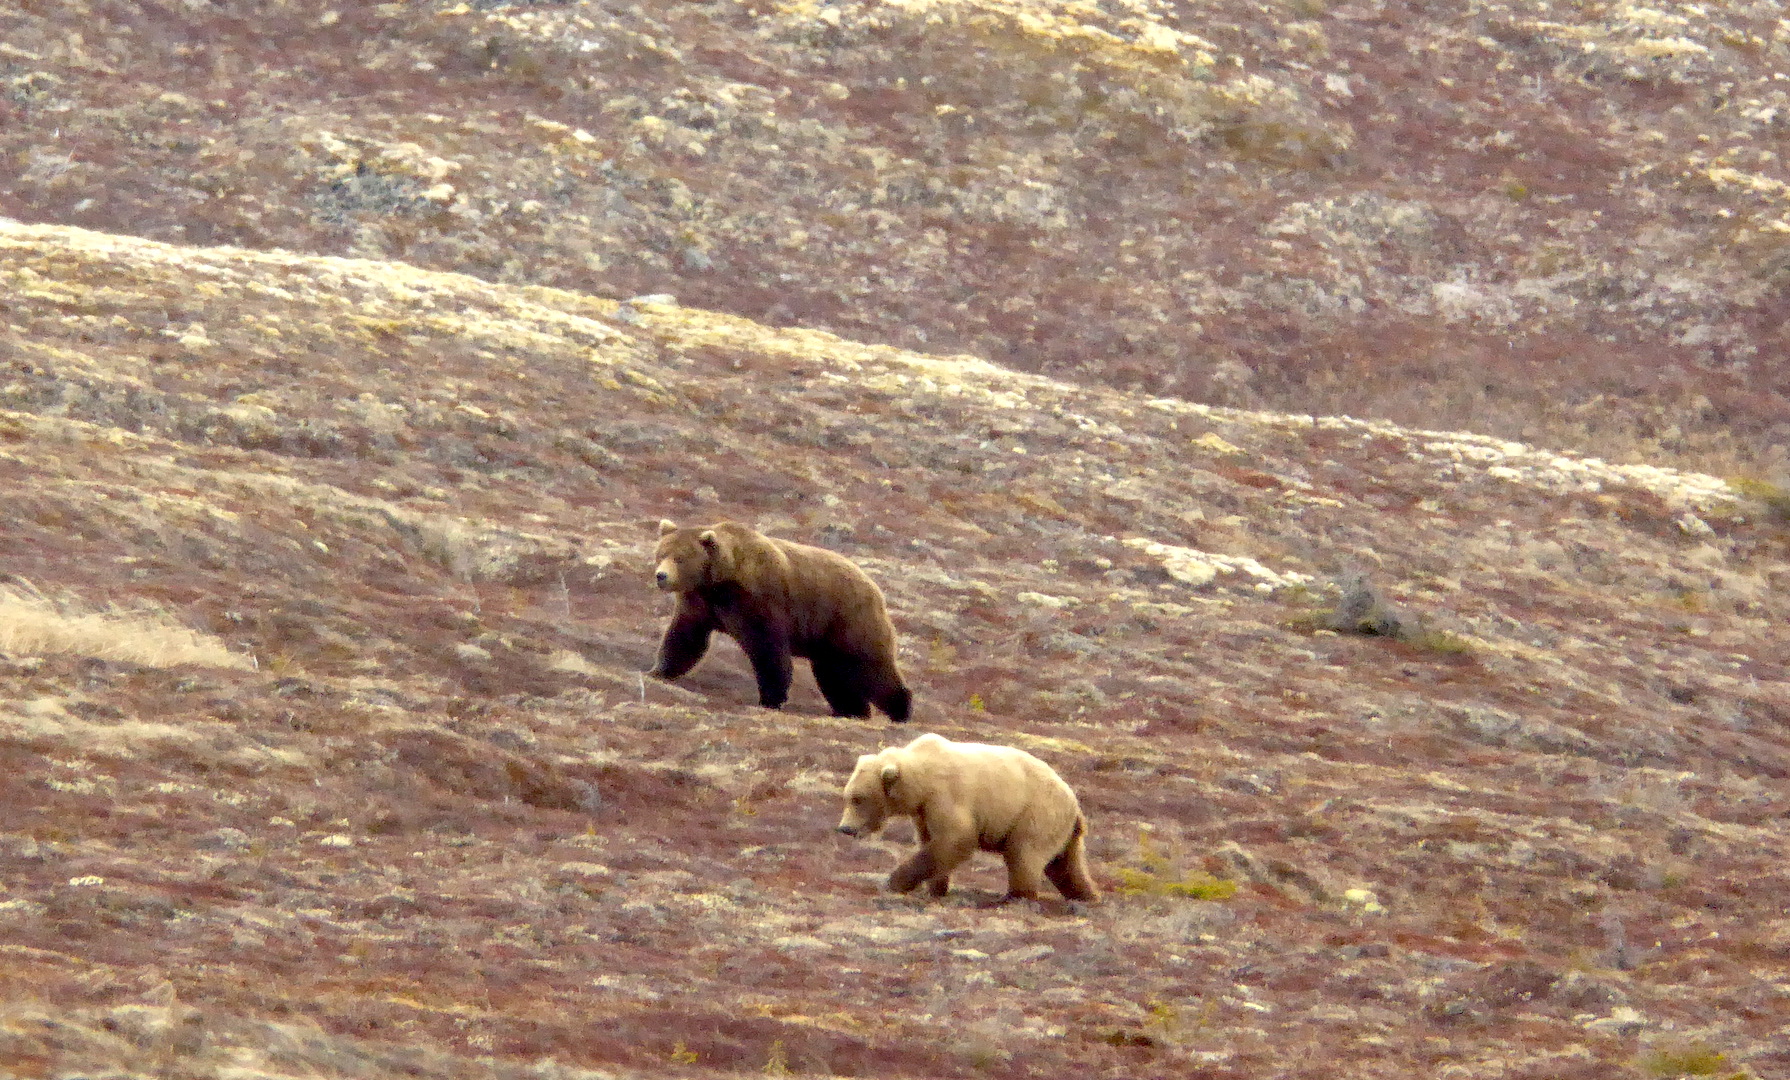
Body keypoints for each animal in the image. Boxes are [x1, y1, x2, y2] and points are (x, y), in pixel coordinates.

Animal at [649, 519, 911, 722]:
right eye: (661, 554)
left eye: (680, 558)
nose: (661, 576)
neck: (717, 583)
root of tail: (876, 589)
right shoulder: (700, 604)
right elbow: (684, 638)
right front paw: (658, 671)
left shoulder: (758, 601)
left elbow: (768, 650)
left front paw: (770, 698)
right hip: (827, 641)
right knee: (834, 676)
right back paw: (852, 711)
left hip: (850, 622)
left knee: (872, 668)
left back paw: (900, 711)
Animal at [836, 733, 1099, 902]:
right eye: (847, 795)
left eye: (858, 798)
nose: (845, 828)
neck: (920, 782)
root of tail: (1075, 804)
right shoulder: (924, 812)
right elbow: (931, 841)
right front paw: (935, 886)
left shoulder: (946, 795)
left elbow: (957, 838)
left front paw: (895, 882)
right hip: (1061, 827)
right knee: (1065, 864)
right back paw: (1087, 895)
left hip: (1036, 813)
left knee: (1024, 854)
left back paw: (1015, 896)